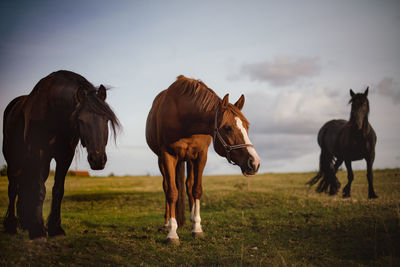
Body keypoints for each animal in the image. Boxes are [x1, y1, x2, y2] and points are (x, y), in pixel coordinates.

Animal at [1, 70, 120, 240]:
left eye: (106, 120)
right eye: (80, 120)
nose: (98, 160)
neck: (53, 112)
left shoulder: (65, 155)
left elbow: (57, 190)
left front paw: (55, 228)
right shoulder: (38, 152)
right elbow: (39, 190)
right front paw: (38, 231)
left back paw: (25, 223)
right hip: (14, 159)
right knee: (13, 187)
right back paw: (11, 225)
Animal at [145, 75, 260, 245]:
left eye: (247, 126)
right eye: (227, 128)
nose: (254, 163)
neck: (183, 118)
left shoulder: (200, 156)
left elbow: (196, 190)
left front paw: (197, 228)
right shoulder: (167, 155)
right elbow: (172, 192)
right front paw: (172, 233)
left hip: (188, 160)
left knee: (188, 186)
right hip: (163, 161)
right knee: (167, 186)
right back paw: (167, 223)